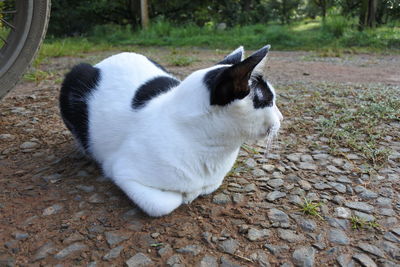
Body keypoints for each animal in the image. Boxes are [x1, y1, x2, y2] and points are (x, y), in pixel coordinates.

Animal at [59, 45, 282, 218]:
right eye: (268, 100)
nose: (281, 118)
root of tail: (107, 60)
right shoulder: (121, 171)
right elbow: (165, 203)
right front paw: (185, 195)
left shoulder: (214, 180)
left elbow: (209, 186)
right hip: (75, 75)